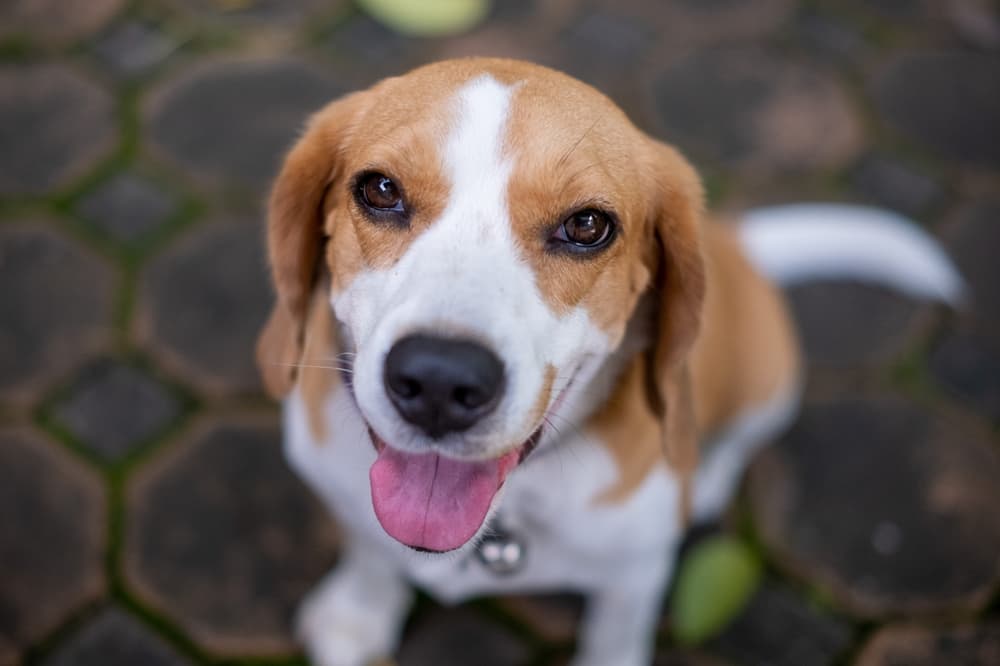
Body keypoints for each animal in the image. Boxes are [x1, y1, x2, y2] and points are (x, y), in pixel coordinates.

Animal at [254, 58, 964, 664]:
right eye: (379, 190)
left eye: (587, 226)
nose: (438, 379)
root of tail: (736, 242)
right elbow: (370, 550)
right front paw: (358, 615)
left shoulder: (635, 576)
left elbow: (615, 635)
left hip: (771, 380)